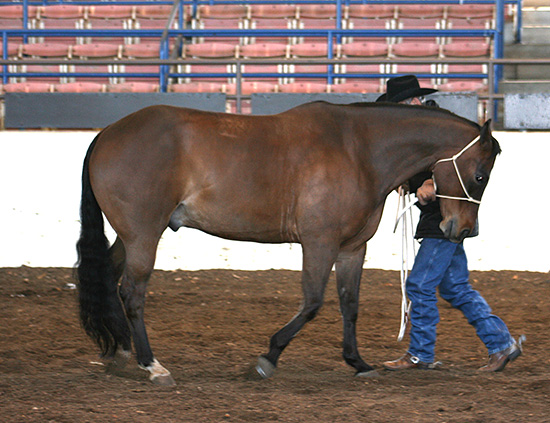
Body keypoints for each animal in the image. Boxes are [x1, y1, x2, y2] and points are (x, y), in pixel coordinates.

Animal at [77, 101, 504, 386]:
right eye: (480, 176)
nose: (461, 230)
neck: (359, 152)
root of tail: (107, 133)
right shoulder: (319, 242)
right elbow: (313, 302)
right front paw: (267, 358)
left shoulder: (352, 248)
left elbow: (350, 305)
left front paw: (358, 362)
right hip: (144, 234)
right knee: (132, 292)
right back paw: (152, 366)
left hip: (132, 236)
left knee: (109, 277)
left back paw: (120, 353)